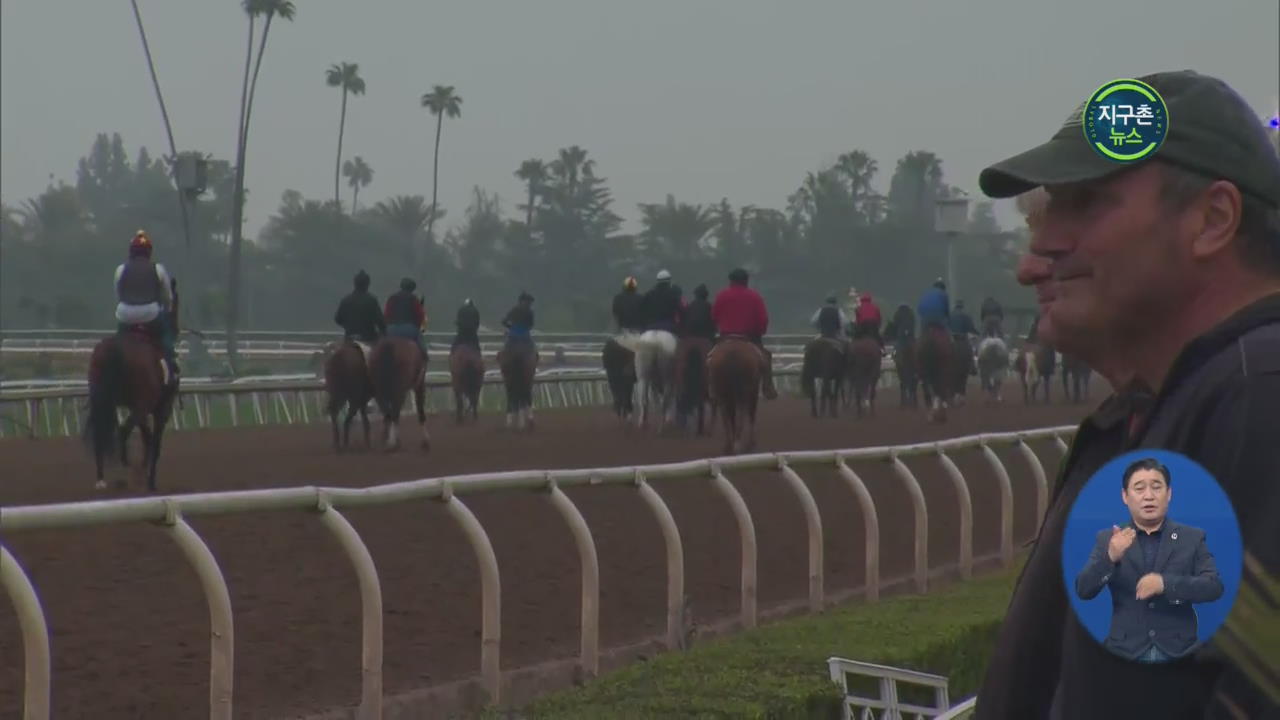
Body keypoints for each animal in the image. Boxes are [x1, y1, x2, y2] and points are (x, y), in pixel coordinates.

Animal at [86, 315, 179, 491]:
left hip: (101, 400)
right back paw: (126, 467)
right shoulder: (162, 408)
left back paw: (102, 479)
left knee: (100, 433)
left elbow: (146, 436)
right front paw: (150, 481)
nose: (176, 330)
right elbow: (154, 441)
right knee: (124, 431)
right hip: (144, 404)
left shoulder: (137, 406)